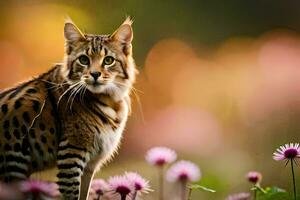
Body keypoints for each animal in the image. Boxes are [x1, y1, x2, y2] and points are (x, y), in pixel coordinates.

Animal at [0, 17, 137, 200]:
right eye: (84, 60)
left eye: (108, 60)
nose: (95, 74)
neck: (110, 100)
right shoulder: (71, 154)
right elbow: (73, 194)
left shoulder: (90, 164)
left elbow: (84, 194)